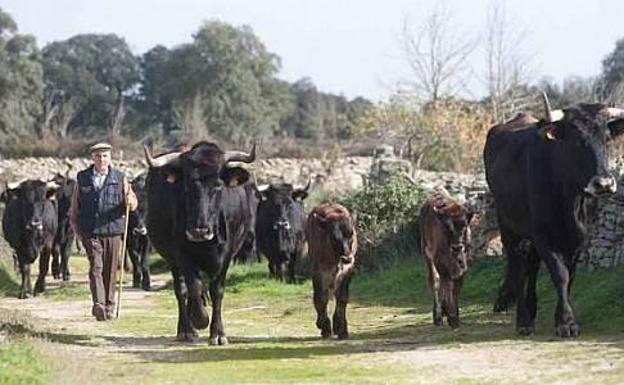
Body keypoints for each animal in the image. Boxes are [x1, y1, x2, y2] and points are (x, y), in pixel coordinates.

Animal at [144, 142, 256, 342]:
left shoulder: (226, 257)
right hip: (173, 262)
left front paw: (218, 333)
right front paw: (200, 319)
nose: (199, 230)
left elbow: (217, 291)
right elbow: (193, 287)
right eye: (186, 186)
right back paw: (186, 329)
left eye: (218, 185)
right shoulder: (181, 254)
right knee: (181, 289)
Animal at [306, 202, 356, 338]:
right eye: (334, 237)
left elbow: (342, 297)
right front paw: (325, 327)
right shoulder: (318, 272)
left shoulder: (348, 270)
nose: (347, 258)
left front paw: (342, 329)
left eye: (351, 234)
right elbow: (321, 298)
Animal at [420, 195, 472, 328]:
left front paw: (454, 312)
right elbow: (446, 283)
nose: (457, 247)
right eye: (446, 228)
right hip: (427, 254)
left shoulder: (464, 259)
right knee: (435, 281)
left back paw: (444, 310)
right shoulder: (439, 260)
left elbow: (457, 282)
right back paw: (438, 316)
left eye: (464, 226)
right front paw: (452, 317)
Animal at [486, 95, 624, 336]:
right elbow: (560, 274)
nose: (604, 183)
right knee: (518, 265)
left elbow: (570, 276)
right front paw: (566, 322)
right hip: (508, 225)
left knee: (531, 264)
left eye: (606, 139)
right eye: (576, 140)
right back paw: (523, 319)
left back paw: (531, 307)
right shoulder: (542, 234)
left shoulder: (580, 238)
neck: (569, 200)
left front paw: (563, 316)